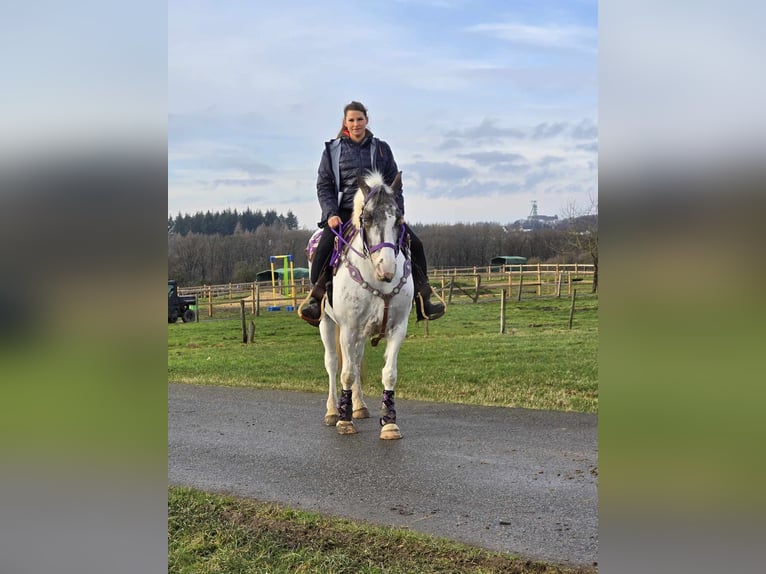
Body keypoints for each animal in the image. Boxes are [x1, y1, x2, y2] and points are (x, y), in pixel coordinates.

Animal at [304, 171, 414, 440]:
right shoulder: (348, 328)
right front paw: (344, 421)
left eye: (398, 218)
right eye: (366, 218)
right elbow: (346, 372)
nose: (387, 268)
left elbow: (388, 374)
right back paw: (333, 411)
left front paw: (389, 423)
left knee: (355, 359)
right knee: (334, 363)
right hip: (327, 324)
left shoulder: (398, 329)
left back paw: (360, 406)